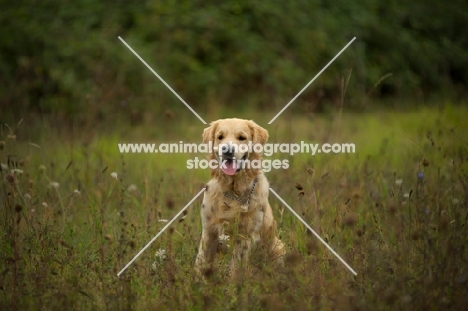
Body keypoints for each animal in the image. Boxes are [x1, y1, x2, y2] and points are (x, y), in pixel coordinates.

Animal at [195, 118, 286, 276]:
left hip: (278, 247)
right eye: (220, 137)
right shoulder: (209, 231)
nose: (227, 150)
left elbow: (236, 266)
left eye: (242, 137)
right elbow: (201, 262)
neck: (233, 191)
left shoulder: (244, 236)